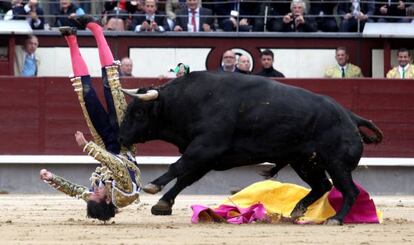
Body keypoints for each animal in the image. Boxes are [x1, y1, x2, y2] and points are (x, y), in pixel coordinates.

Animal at [119, 70, 382, 224]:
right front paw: (163, 204)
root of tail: (351, 117)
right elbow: (186, 177)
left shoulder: (206, 147)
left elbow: (178, 167)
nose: (121, 137)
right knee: (322, 185)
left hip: (337, 164)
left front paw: (153, 186)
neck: (191, 100)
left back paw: (335, 218)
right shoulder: (207, 157)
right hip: (305, 162)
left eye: (139, 112)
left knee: (349, 191)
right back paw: (297, 212)